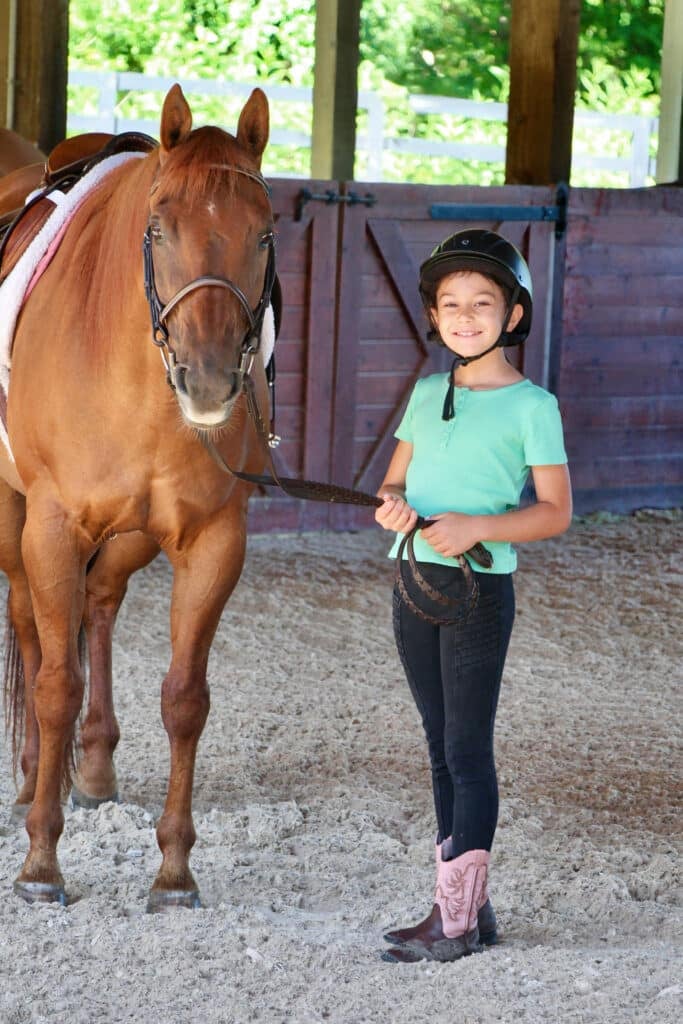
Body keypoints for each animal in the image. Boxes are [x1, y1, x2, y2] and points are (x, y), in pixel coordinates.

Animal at [0, 83, 276, 910]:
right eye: (158, 229)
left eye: (264, 235)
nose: (209, 381)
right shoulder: (52, 528)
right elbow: (55, 683)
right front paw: (41, 863)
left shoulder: (214, 541)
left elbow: (185, 698)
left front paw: (175, 870)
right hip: (14, 520)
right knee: (31, 627)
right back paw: (35, 778)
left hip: (133, 537)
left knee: (100, 603)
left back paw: (90, 767)